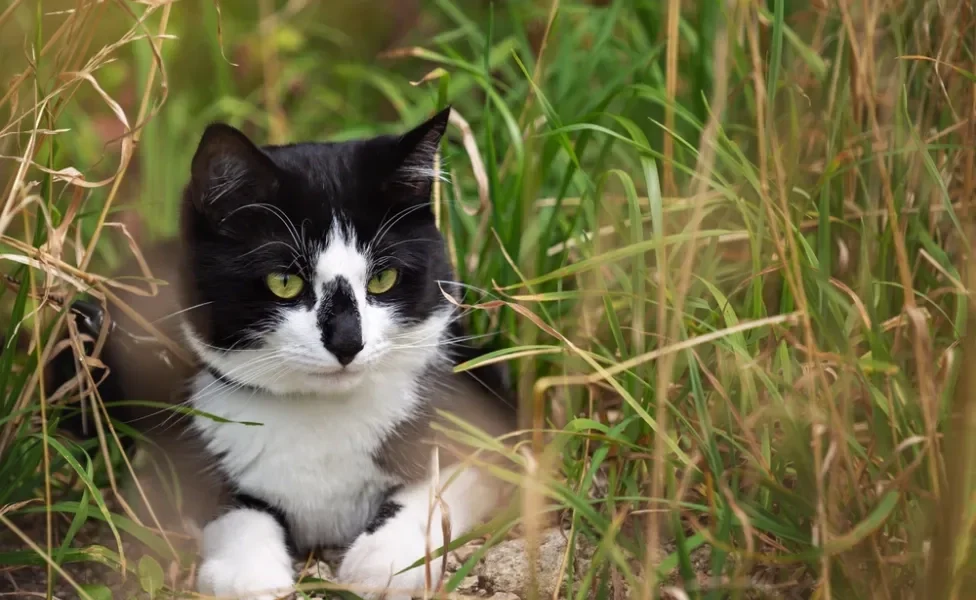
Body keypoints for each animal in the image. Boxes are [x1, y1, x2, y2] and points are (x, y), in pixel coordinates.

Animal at [47, 109, 520, 600]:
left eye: (383, 279)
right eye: (284, 282)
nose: (348, 342)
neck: (321, 417)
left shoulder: (487, 401)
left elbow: (447, 480)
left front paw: (384, 562)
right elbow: (232, 507)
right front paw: (247, 573)